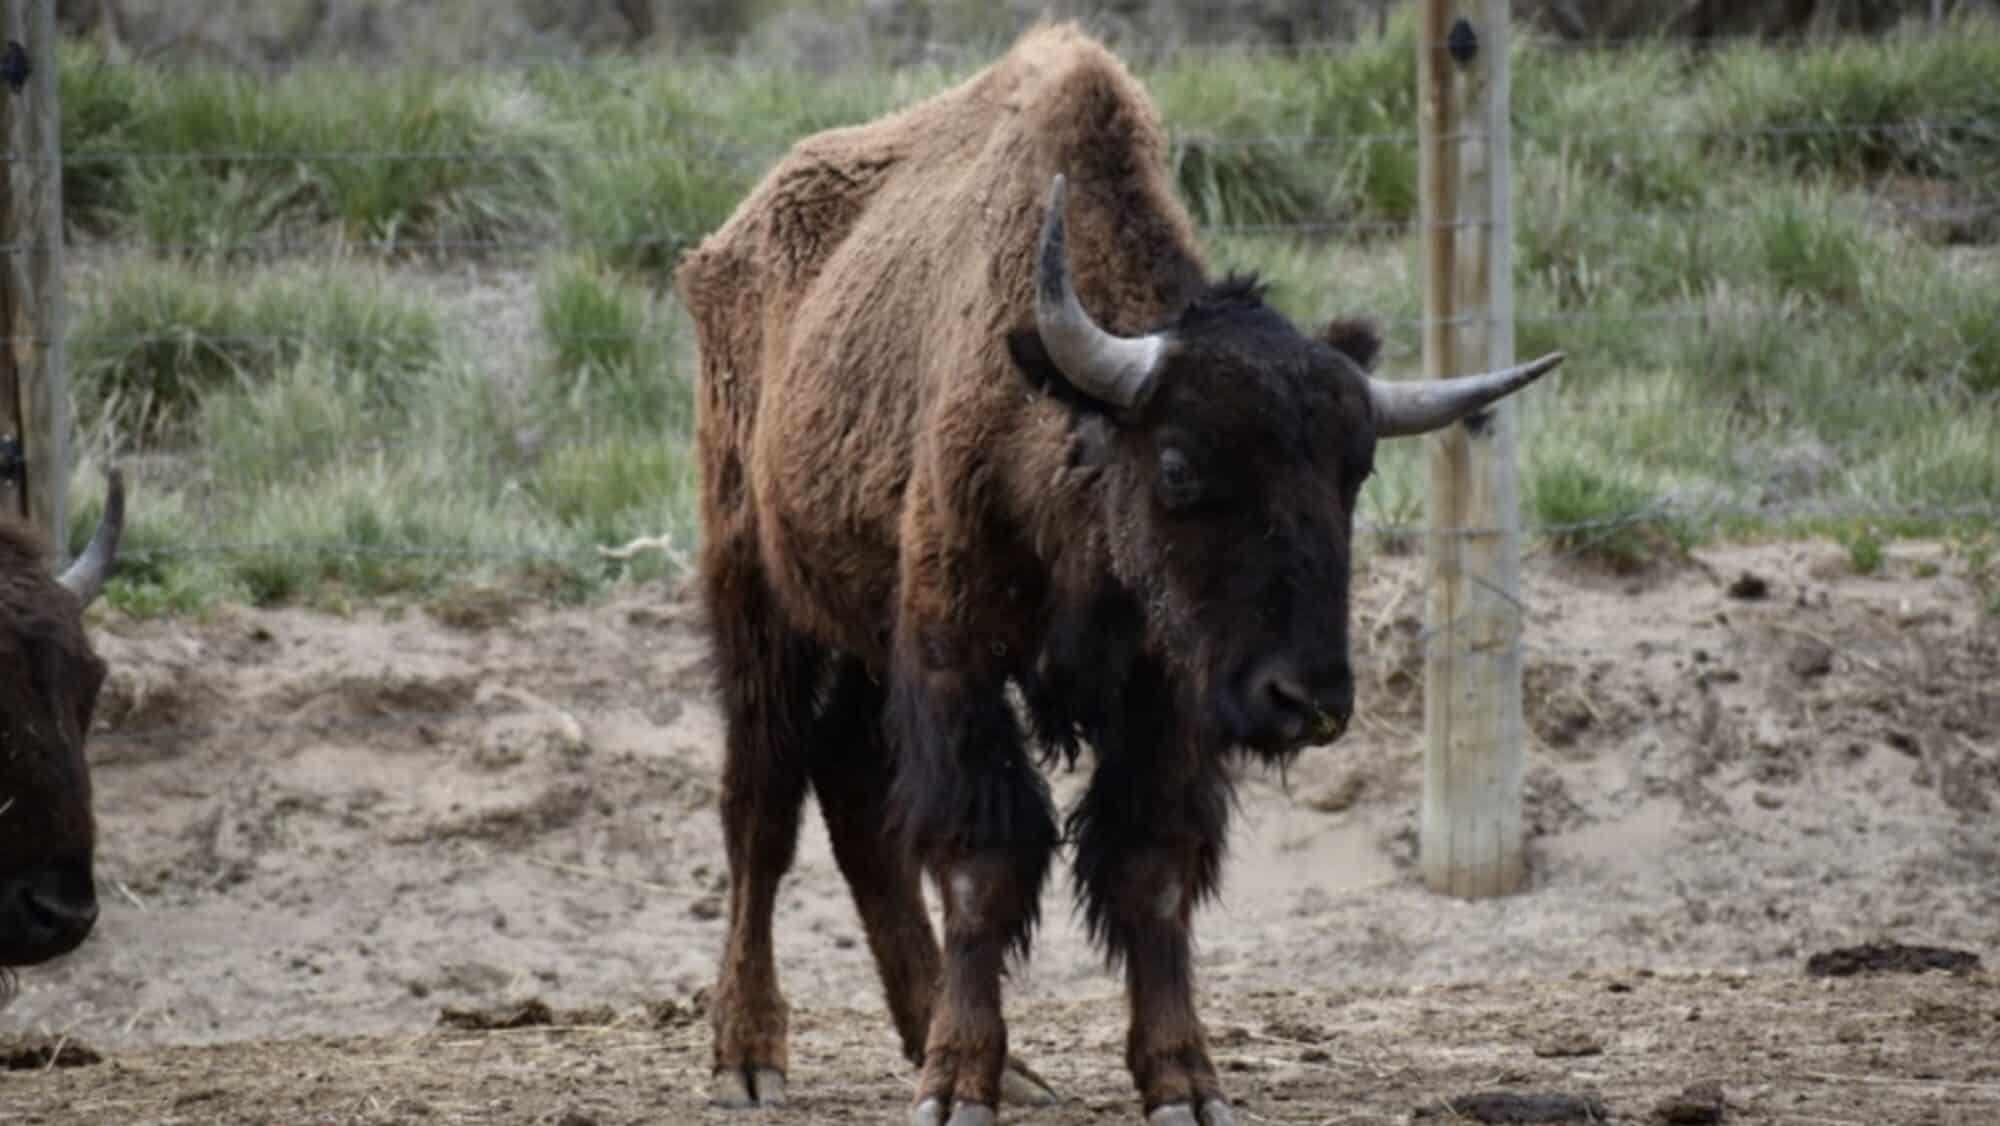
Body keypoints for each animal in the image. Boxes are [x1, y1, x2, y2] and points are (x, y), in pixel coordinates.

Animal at [674, 24, 1560, 1125]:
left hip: (857, 635)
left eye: (1353, 470)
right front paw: (958, 1083)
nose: (1306, 700)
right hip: (757, 593)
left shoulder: (1166, 689)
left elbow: (1151, 869)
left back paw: (953, 1043)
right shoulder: (954, 655)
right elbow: (982, 863)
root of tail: (731, 241)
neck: (1071, 428)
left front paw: (1183, 1080)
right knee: (761, 804)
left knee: (851, 799)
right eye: (1178, 465)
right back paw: (749, 1055)